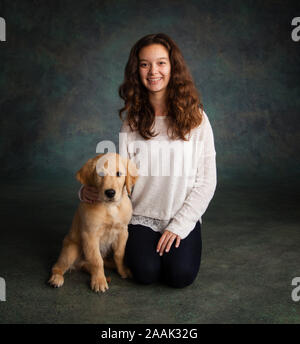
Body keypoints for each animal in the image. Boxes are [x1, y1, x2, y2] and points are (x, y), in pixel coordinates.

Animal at [48, 153, 139, 292]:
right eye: (100, 174)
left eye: (119, 174)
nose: (110, 192)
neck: (110, 207)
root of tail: (81, 264)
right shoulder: (90, 235)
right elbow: (96, 260)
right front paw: (99, 281)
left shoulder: (123, 232)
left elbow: (119, 254)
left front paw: (123, 270)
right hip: (71, 250)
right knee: (58, 266)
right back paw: (56, 278)